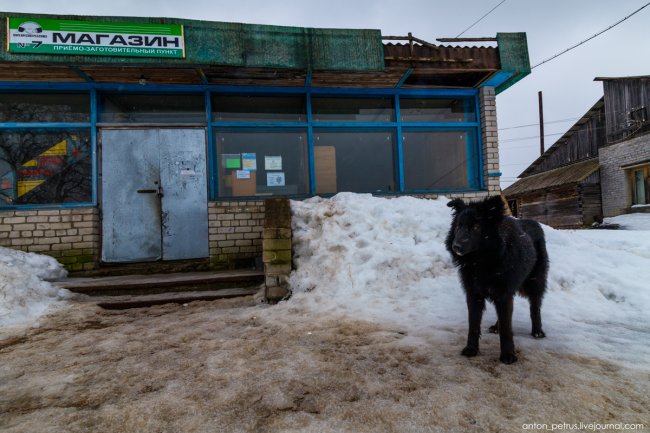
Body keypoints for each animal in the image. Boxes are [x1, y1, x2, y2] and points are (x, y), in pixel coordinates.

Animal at [442, 195, 544, 362]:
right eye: (458, 227)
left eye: (476, 227)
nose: (455, 246)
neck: (482, 262)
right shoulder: (474, 294)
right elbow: (473, 325)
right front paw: (471, 349)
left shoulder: (503, 294)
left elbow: (506, 327)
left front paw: (508, 355)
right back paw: (496, 327)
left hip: (535, 282)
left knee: (535, 307)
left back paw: (537, 331)